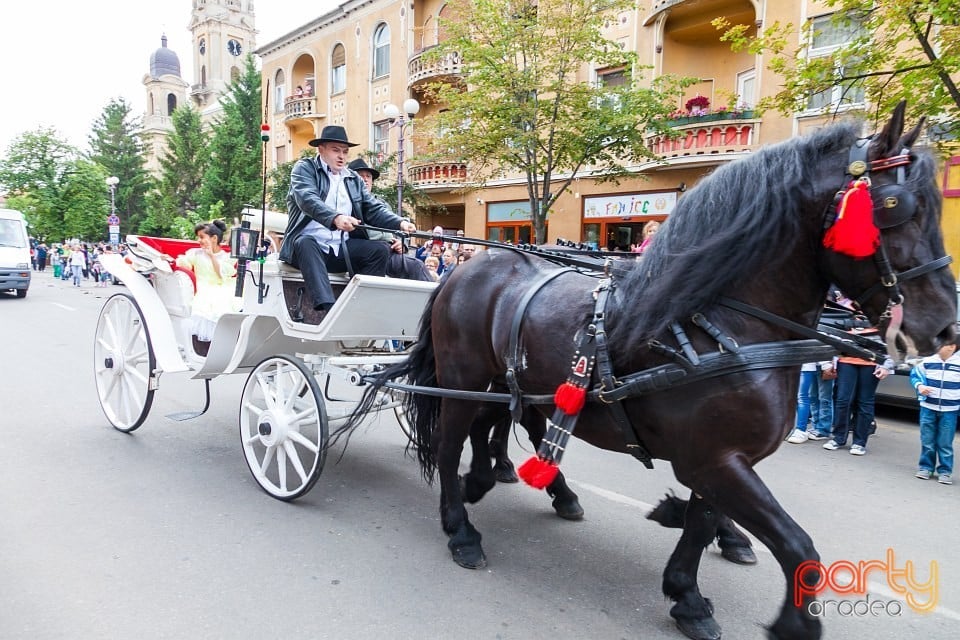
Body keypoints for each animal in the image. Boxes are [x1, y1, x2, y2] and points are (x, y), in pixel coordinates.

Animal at [344, 102, 952, 636]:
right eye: (895, 206)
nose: (944, 328)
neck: (722, 322)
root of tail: (464, 269)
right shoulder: (714, 461)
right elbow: (796, 543)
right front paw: (789, 621)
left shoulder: (718, 457)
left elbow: (707, 521)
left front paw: (688, 587)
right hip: (463, 381)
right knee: (451, 443)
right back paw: (462, 527)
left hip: (517, 382)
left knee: (515, 425)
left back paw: (533, 486)